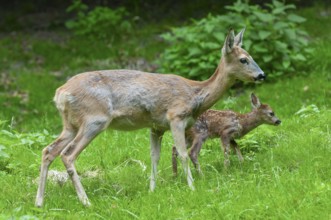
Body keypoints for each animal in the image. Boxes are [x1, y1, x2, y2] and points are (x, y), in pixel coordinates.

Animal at [35, 27, 266, 208]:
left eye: (251, 56)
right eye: (244, 59)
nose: (261, 75)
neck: (195, 95)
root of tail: (60, 93)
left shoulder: (156, 126)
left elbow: (154, 157)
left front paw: (152, 190)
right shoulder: (175, 117)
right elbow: (183, 153)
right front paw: (192, 187)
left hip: (70, 124)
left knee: (48, 150)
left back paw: (39, 202)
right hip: (94, 120)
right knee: (68, 154)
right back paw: (86, 201)